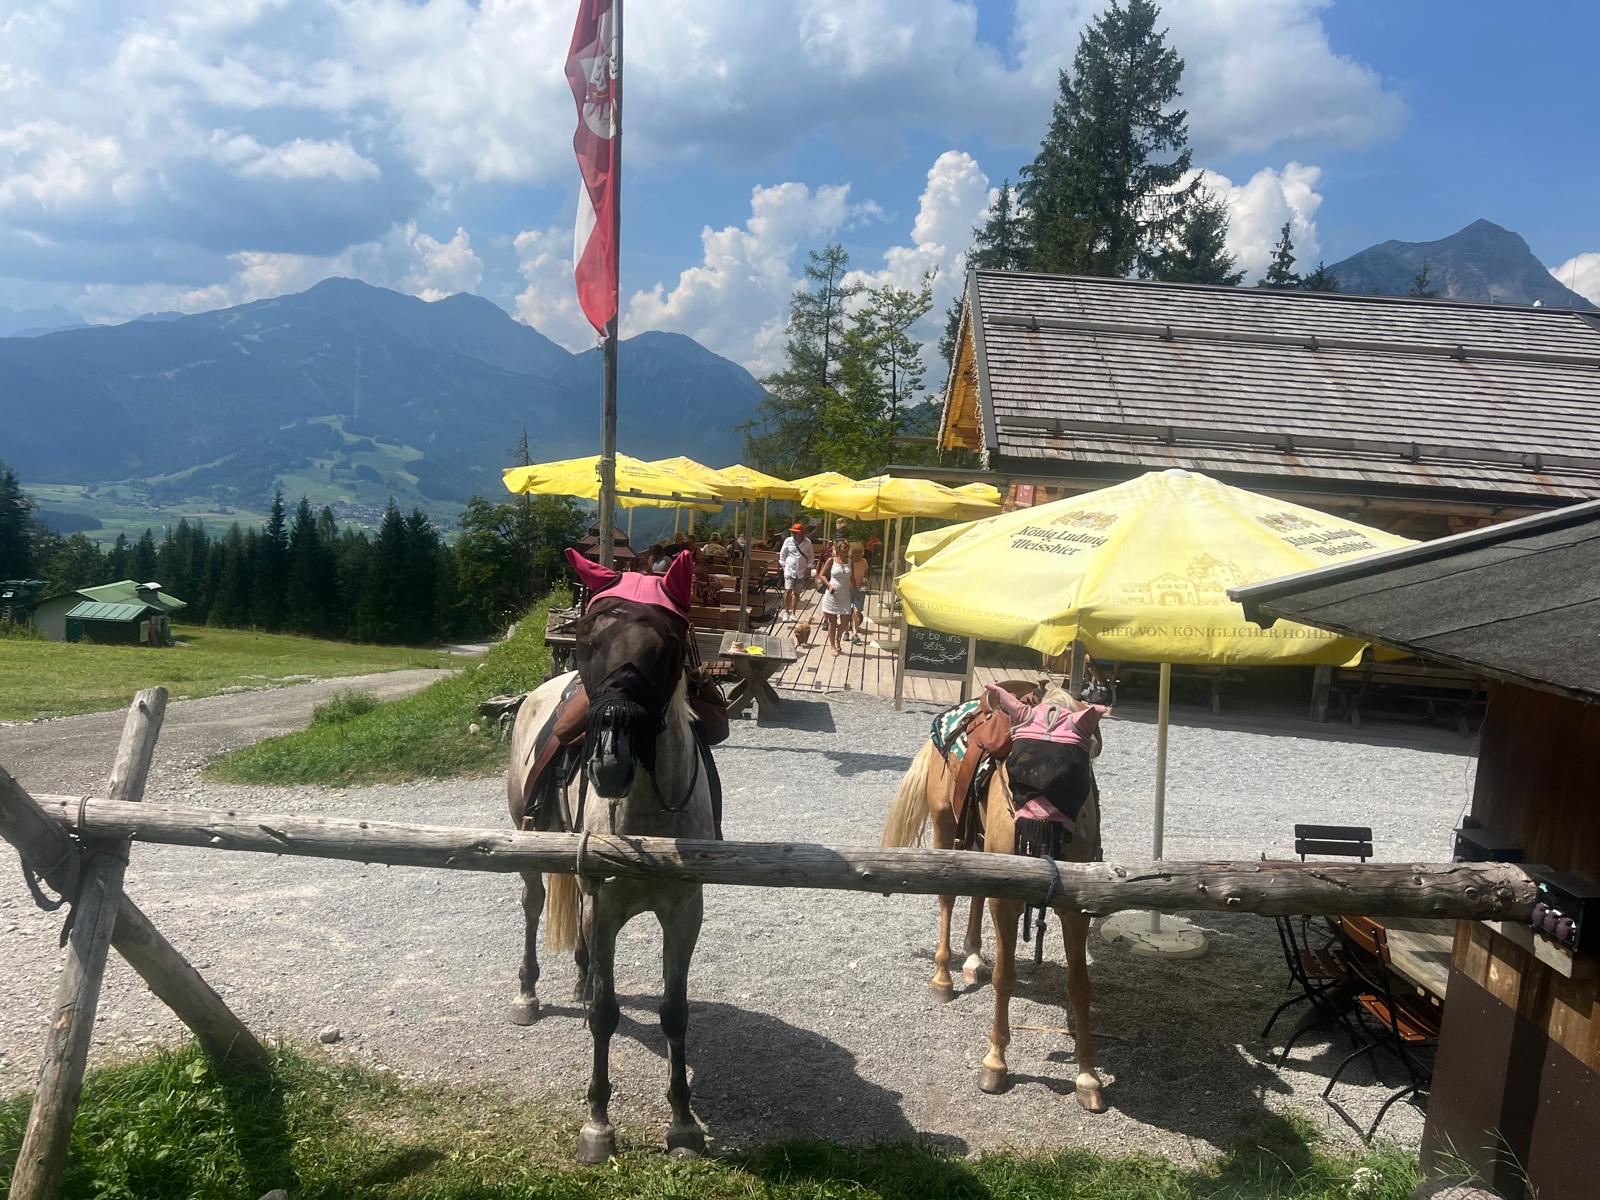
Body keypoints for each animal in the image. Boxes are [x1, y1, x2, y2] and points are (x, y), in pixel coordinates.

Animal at [504, 548, 717, 1162]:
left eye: (667, 644)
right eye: (589, 641)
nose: (609, 762)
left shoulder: (683, 914)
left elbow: (673, 1012)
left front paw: (682, 1120)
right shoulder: (603, 912)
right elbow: (605, 1012)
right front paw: (598, 1122)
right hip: (529, 846)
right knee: (533, 905)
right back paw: (528, 991)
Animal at [881, 682, 1109, 1113]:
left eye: (1072, 773)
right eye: (1017, 768)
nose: (1036, 833)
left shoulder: (1077, 907)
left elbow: (1080, 986)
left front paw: (1088, 1076)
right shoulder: (1008, 902)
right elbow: (1006, 978)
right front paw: (995, 1064)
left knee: (976, 893)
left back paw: (972, 958)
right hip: (946, 826)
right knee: (948, 898)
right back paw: (944, 977)